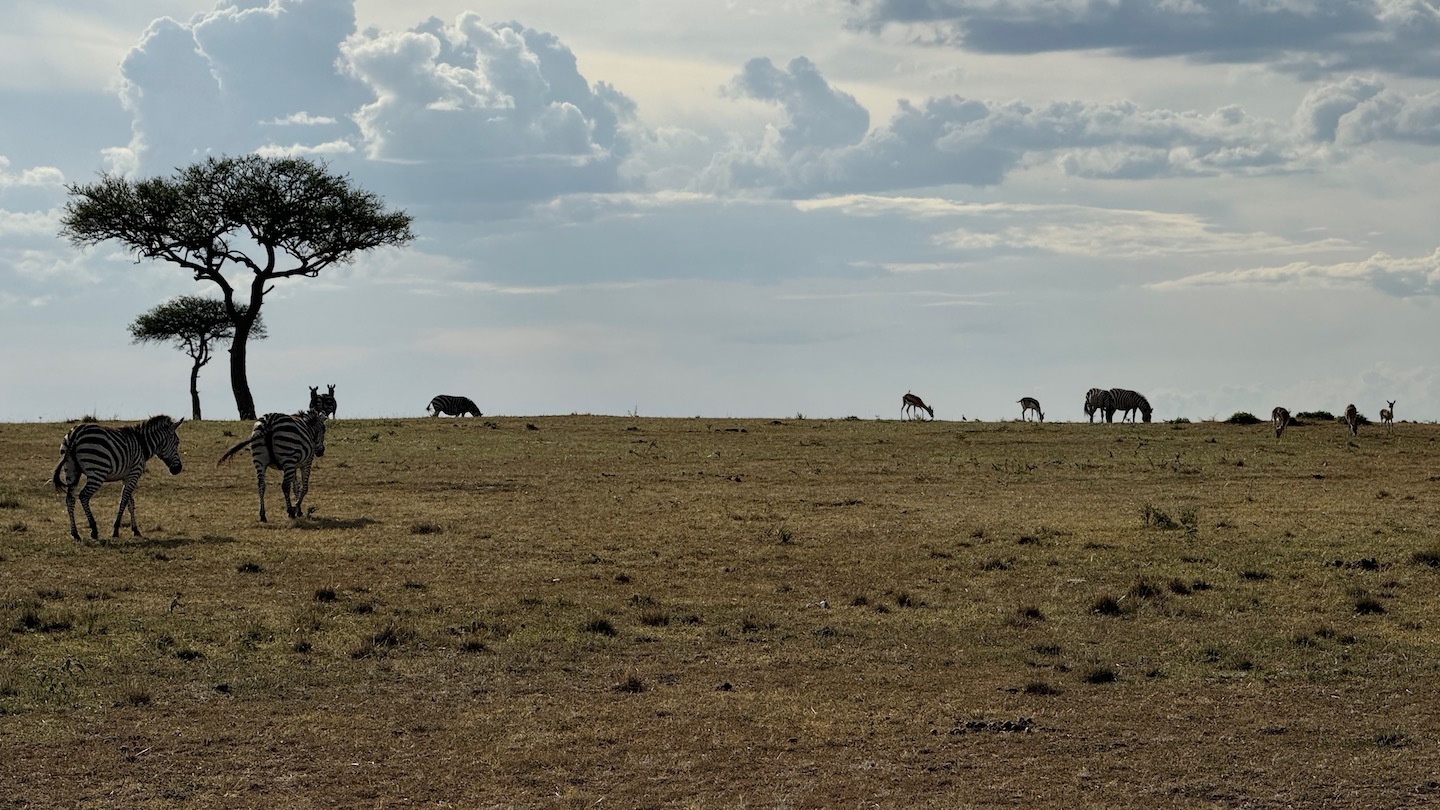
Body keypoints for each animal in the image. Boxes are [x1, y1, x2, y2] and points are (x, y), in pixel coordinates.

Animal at [51, 415, 185, 541]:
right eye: (177, 442)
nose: (178, 469)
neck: (142, 444)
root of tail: (75, 434)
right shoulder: (134, 474)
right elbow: (123, 501)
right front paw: (115, 530)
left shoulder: (127, 477)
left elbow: (130, 503)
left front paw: (135, 530)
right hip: (97, 471)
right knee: (83, 496)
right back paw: (94, 530)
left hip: (71, 470)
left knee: (70, 499)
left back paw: (75, 534)